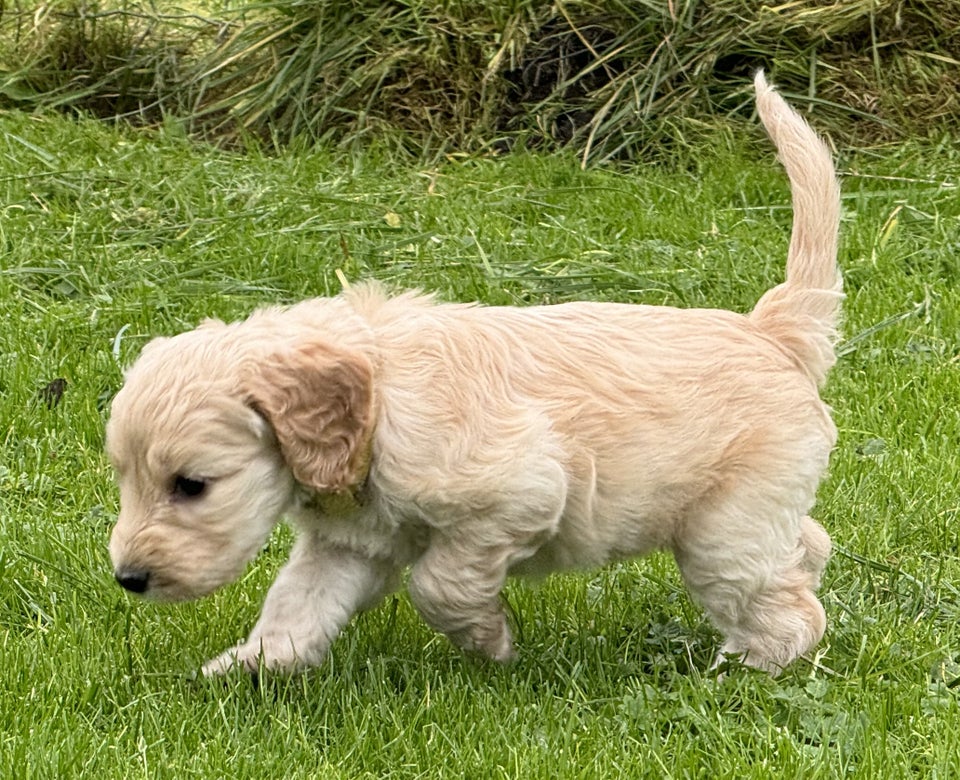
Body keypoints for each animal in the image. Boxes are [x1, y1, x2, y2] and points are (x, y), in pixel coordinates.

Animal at [107, 73, 840, 676]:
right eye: (126, 479)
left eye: (192, 486)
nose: (129, 578)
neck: (380, 405)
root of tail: (770, 329)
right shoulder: (349, 544)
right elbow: (297, 603)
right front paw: (250, 667)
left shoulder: (516, 496)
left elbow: (439, 585)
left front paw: (489, 642)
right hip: (750, 515)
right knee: (808, 546)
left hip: (725, 528)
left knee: (791, 608)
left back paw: (746, 668)